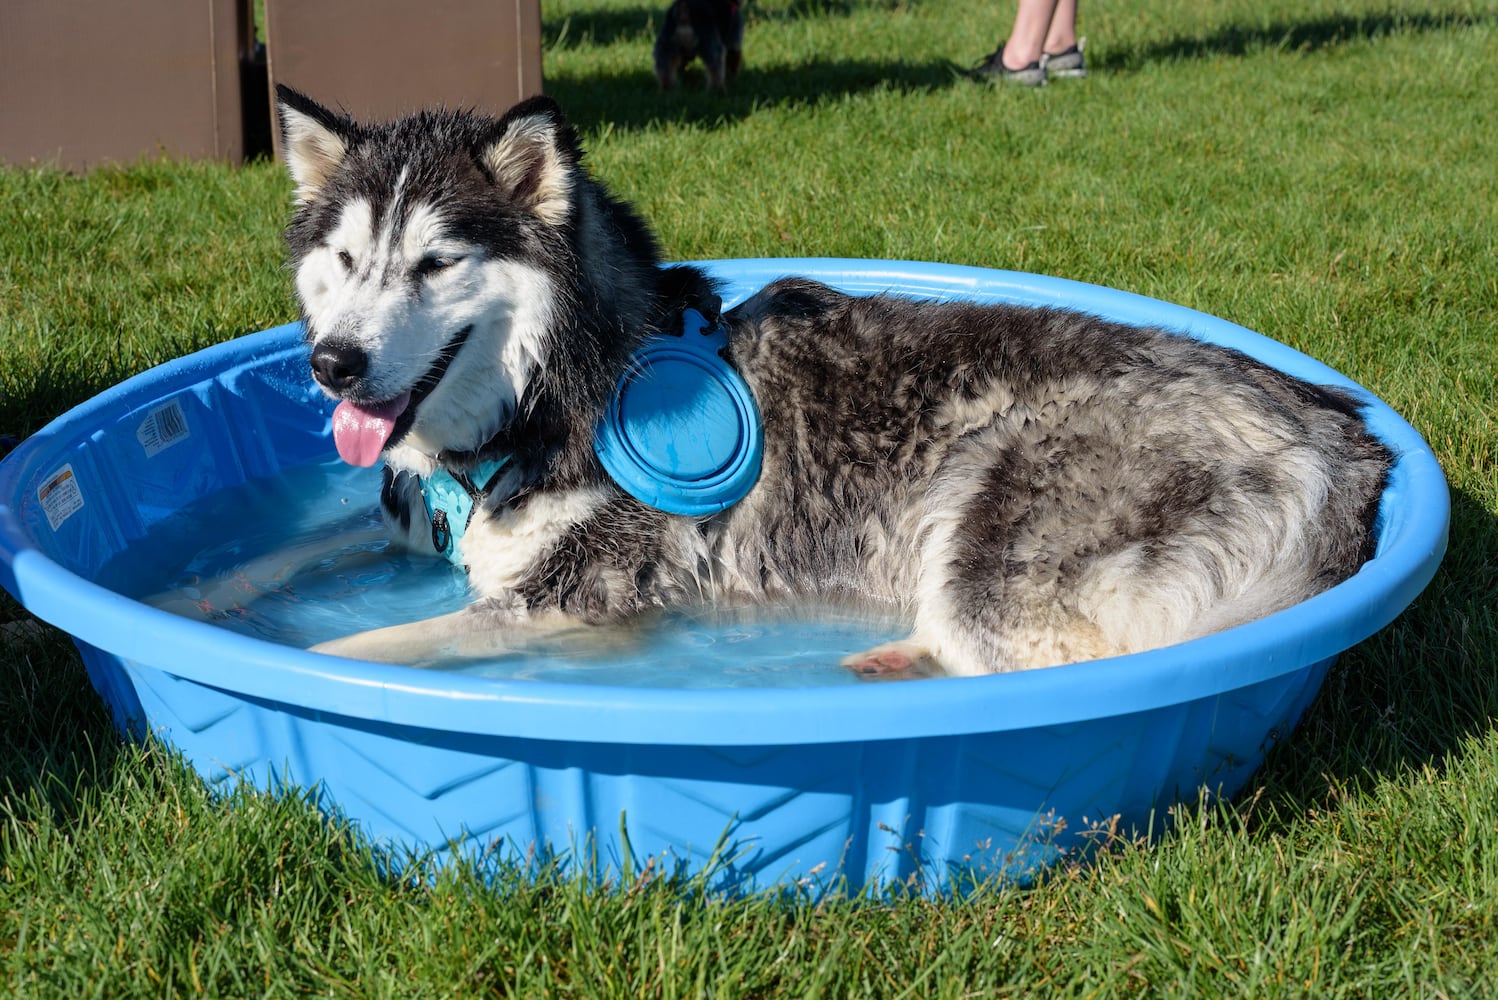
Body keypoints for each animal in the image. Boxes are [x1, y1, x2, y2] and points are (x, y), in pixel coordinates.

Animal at [275, 87, 1384, 679]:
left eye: (434, 264)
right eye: (345, 259)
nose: (334, 363)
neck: (556, 395)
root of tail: (1341, 432)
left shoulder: (580, 600)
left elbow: (365, 647)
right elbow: (299, 568)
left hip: (995, 533)